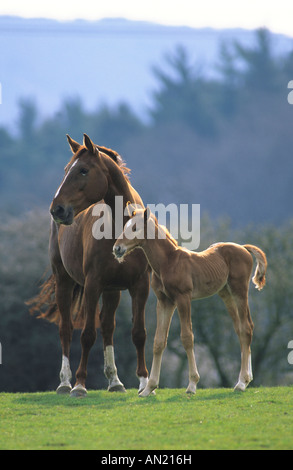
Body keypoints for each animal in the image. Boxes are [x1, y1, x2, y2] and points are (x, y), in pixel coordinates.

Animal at [112, 207, 266, 394]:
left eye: (135, 228)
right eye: (125, 226)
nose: (117, 248)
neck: (167, 262)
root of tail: (243, 247)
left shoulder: (183, 298)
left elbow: (187, 337)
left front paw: (192, 385)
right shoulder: (164, 302)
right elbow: (159, 341)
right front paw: (149, 388)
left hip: (239, 290)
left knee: (246, 328)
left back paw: (241, 382)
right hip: (226, 294)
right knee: (240, 329)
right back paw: (247, 378)